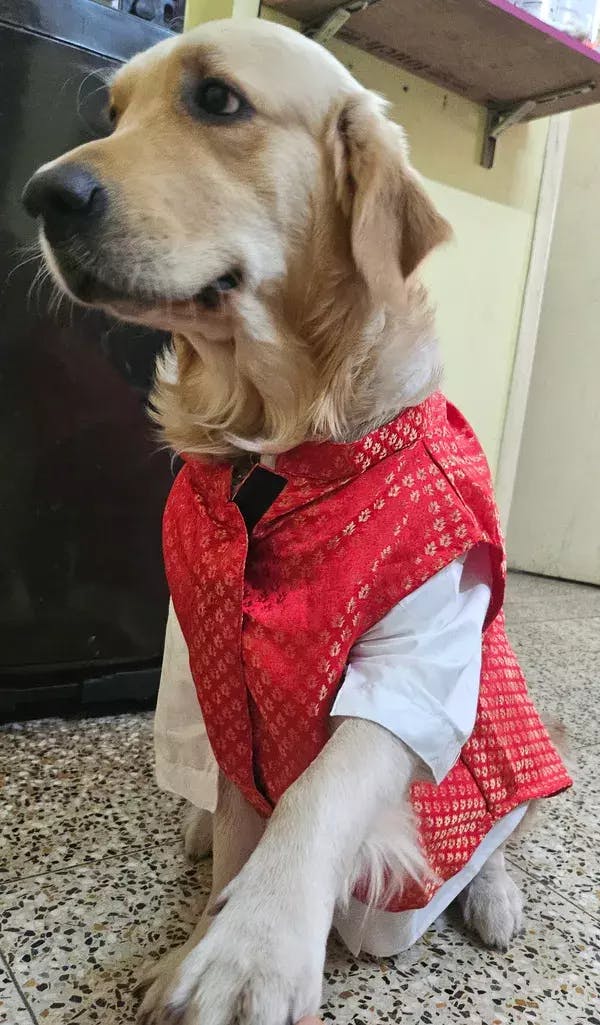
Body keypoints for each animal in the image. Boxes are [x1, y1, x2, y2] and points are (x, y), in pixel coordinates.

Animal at [22, 19, 571, 1025]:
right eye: (113, 112)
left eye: (216, 100)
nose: (42, 193)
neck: (271, 449)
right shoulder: (219, 674)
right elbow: (246, 817)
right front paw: (198, 939)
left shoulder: (418, 653)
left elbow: (326, 786)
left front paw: (252, 948)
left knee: (502, 828)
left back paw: (492, 893)